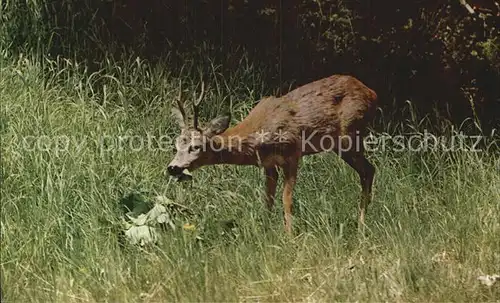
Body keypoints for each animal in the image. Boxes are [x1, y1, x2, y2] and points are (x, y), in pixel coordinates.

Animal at [166, 74, 376, 235]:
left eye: (195, 146)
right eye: (176, 144)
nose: (172, 168)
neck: (257, 135)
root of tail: (372, 93)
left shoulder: (293, 153)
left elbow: (286, 200)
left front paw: (289, 235)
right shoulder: (268, 164)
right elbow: (268, 199)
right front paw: (265, 231)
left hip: (349, 136)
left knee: (369, 170)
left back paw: (361, 226)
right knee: (367, 171)